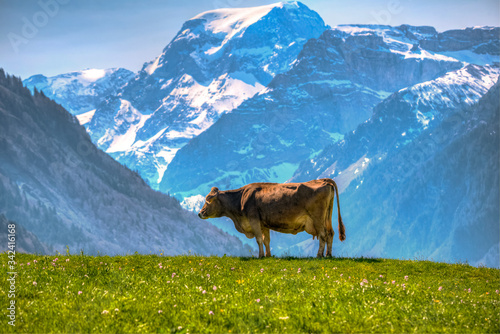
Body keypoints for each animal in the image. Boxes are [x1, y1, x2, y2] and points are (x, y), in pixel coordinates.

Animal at [197, 179, 346, 258]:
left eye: (208, 200)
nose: (200, 213)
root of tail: (322, 180)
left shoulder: (254, 220)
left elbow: (258, 239)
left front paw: (260, 256)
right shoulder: (263, 224)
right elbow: (266, 240)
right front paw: (268, 255)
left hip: (317, 218)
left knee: (322, 235)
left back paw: (319, 255)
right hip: (327, 217)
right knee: (330, 233)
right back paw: (328, 254)